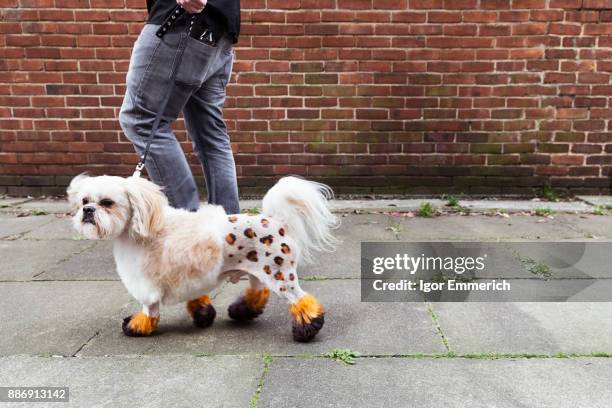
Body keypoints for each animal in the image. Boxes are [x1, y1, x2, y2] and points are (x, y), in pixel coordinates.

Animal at [67, 175, 340, 342]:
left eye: (107, 202)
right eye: (84, 200)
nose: (87, 210)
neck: (142, 229)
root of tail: (276, 220)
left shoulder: (147, 284)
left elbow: (149, 308)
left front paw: (137, 325)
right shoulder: (189, 278)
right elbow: (196, 298)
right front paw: (203, 315)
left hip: (279, 275)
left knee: (301, 300)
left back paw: (306, 329)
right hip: (258, 272)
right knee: (258, 292)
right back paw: (241, 311)